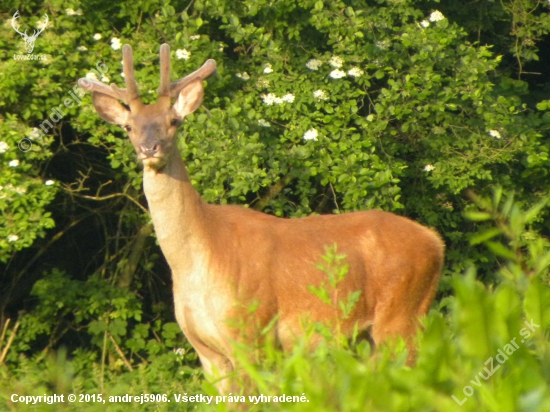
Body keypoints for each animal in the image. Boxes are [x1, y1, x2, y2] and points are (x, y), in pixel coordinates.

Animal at [77, 42, 446, 392]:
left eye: (174, 121)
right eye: (128, 126)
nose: (149, 148)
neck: (199, 259)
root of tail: (436, 242)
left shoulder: (251, 334)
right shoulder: (206, 352)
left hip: (402, 315)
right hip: (372, 335)